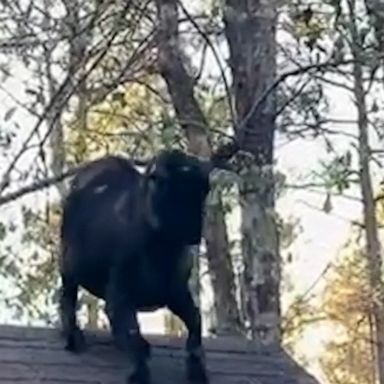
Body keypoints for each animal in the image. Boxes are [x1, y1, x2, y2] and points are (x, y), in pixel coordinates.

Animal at [58, 149, 212, 384]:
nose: (193, 228)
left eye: (203, 191)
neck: (163, 248)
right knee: (67, 297)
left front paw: (197, 370)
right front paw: (139, 374)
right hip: (69, 264)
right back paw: (73, 337)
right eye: (167, 186)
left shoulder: (176, 292)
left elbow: (195, 320)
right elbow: (133, 334)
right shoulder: (121, 293)